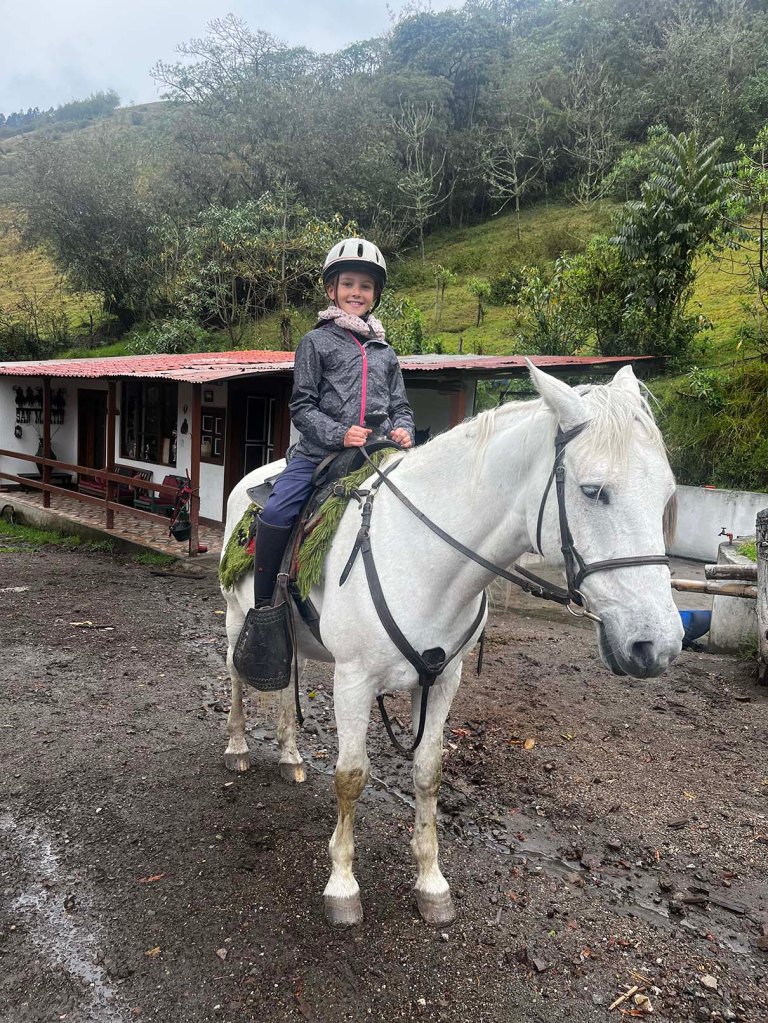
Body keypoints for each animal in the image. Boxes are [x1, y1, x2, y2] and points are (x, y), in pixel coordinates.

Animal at [220, 362, 682, 926]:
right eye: (594, 491)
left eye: (666, 492)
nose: (657, 644)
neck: (424, 558)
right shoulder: (353, 680)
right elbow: (351, 776)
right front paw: (343, 886)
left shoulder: (443, 680)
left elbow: (428, 772)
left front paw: (431, 882)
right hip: (236, 618)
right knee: (238, 677)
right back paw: (239, 747)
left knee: (289, 685)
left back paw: (289, 755)